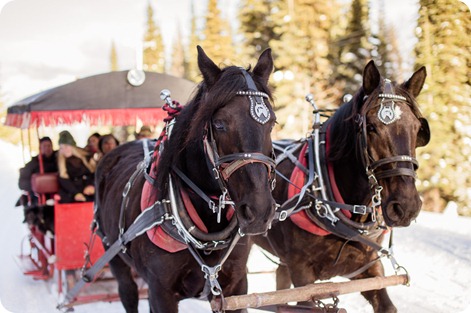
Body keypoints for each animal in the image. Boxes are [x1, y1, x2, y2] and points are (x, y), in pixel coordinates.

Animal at [96, 47, 278, 312]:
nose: (260, 211)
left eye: (272, 122)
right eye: (219, 123)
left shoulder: (237, 286)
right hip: (116, 259)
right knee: (127, 292)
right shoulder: (161, 293)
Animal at [254, 61, 432, 312]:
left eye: (417, 129)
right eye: (371, 127)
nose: (406, 206)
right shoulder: (302, 275)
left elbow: (387, 304)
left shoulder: (369, 268)